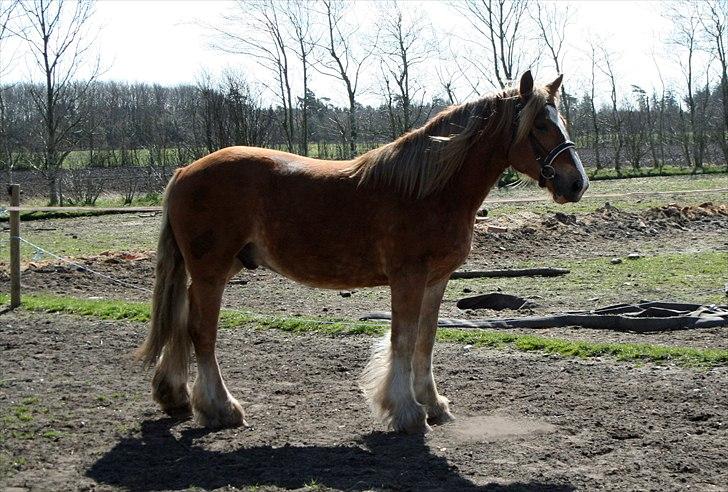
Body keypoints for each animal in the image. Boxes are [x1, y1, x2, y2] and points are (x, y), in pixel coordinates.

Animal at [136, 71, 588, 432]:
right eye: (541, 125)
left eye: (562, 122)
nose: (577, 183)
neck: (429, 189)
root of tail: (184, 171)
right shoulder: (408, 277)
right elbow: (403, 339)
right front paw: (406, 411)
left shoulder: (436, 279)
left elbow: (425, 340)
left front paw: (432, 403)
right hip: (211, 272)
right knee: (202, 332)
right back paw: (220, 409)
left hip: (216, 269)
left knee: (181, 319)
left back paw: (176, 396)